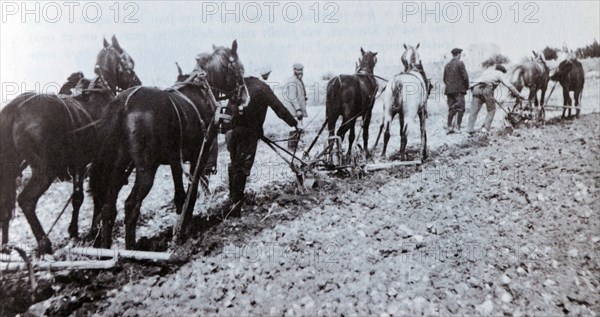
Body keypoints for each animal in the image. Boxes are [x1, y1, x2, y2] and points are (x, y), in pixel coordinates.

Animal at [0, 35, 141, 252]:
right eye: (129, 61)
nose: (137, 82)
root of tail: (16, 108)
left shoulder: (79, 163)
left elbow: (78, 197)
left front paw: (74, 230)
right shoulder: (96, 162)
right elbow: (96, 193)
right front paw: (93, 229)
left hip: (12, 167)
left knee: (5, 205)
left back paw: (6, 245)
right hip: (45, 169)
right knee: (26, 201)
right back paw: (44, 243)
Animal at [89, 39, 248, 248]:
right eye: (239, 70)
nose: (245, 97)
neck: (201, 91)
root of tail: (123, 103)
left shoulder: (175, 159)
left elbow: (180, 194)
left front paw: (180, 227)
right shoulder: (199, 154)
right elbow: (192, 190)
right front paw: (185, 229)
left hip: (118, 166)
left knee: (108, 209)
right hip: (146, 170)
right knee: (131, 206)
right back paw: (131, 249)